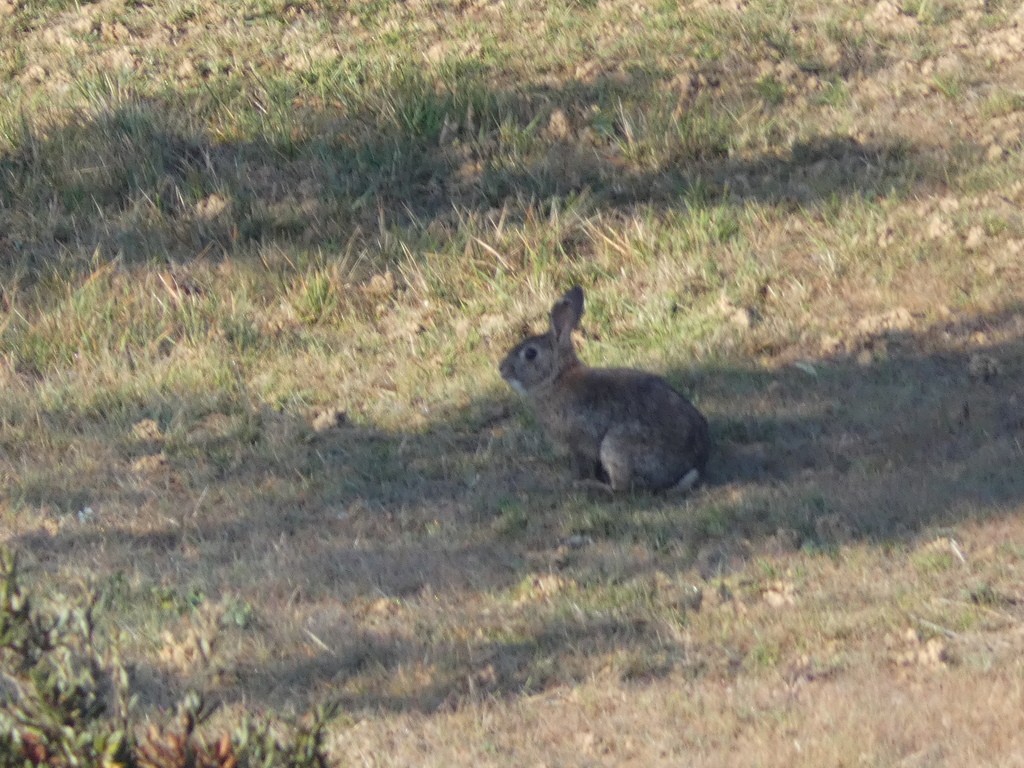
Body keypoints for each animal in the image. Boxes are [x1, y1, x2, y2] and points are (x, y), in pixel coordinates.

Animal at [497, 286, 708, 493]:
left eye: (530, 354)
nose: (502, 369)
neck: (556, 379)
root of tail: (690, 464)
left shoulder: (577, 442)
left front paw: (575, 480)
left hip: (615, 447)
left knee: (622, 488)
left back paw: (592, 485)